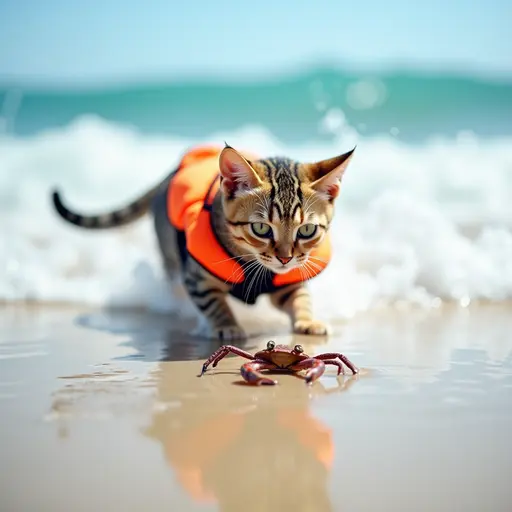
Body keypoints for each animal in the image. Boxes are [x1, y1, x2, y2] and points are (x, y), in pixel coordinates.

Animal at [52, 143, 356, 340]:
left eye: (306, 230)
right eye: (261, 228)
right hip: (170, 255)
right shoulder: (196, 278)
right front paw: (226, 326)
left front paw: (308, 321)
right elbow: (214, 304)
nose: (285, 258)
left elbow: (301, 298)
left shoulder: (288, 282)